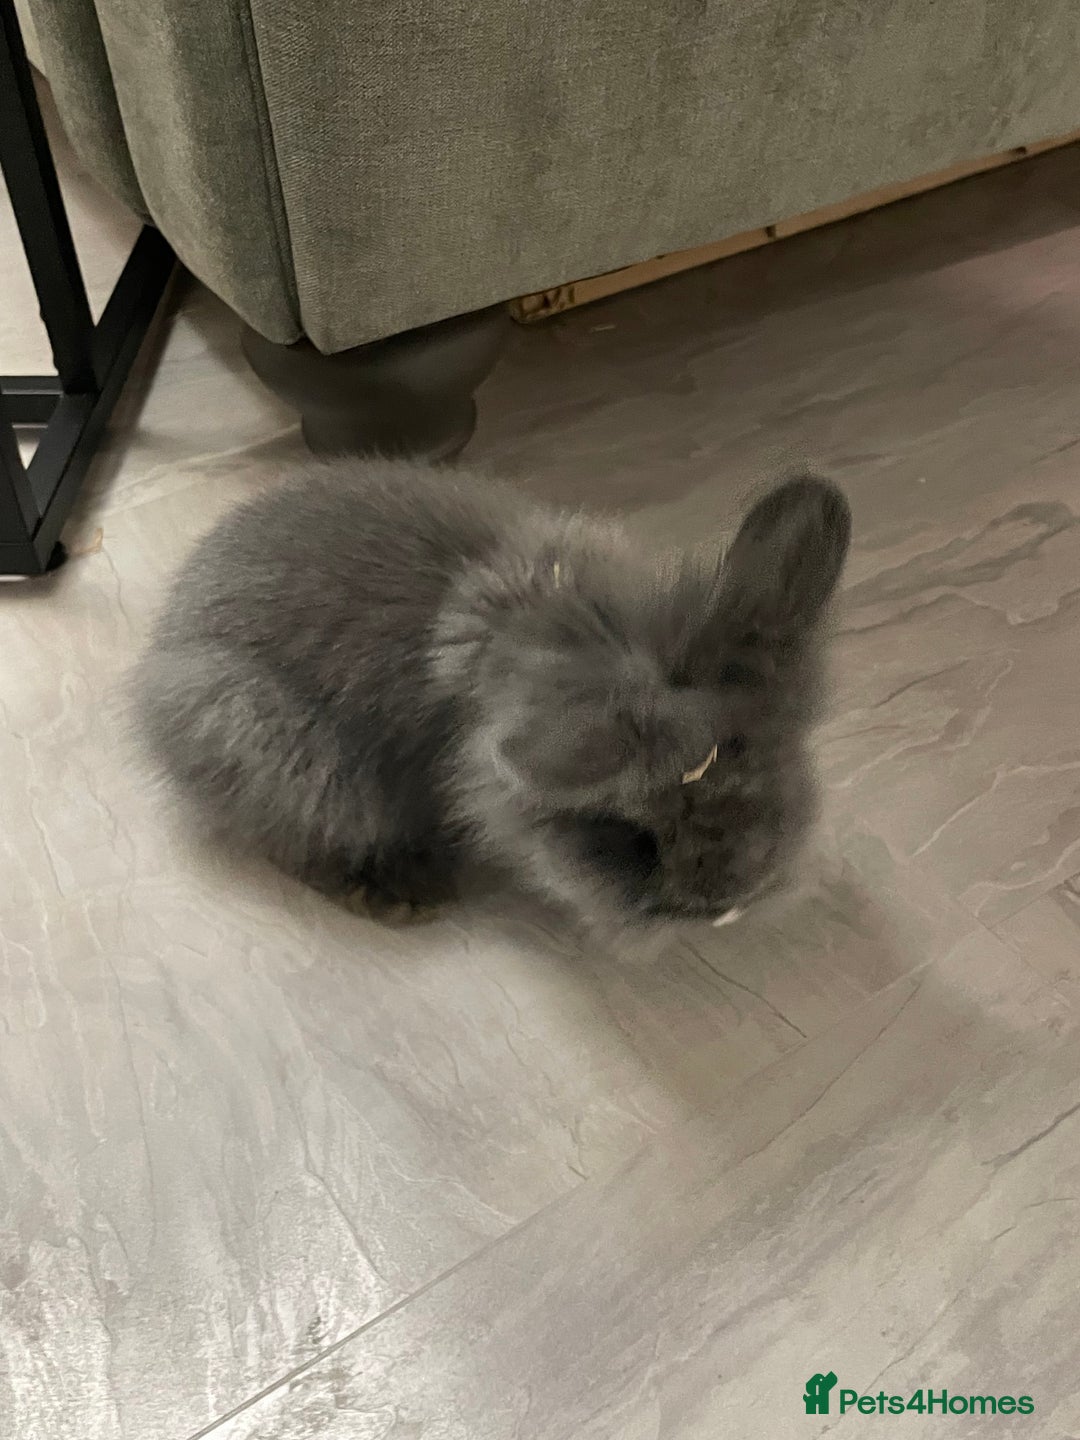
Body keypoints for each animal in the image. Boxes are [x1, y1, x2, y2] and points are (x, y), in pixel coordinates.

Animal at [129, 457, 850, 929]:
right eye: (629, 833)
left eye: (779, 758)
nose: (732, 899)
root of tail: (164, 642)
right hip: (279, 751)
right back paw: (401, 895)